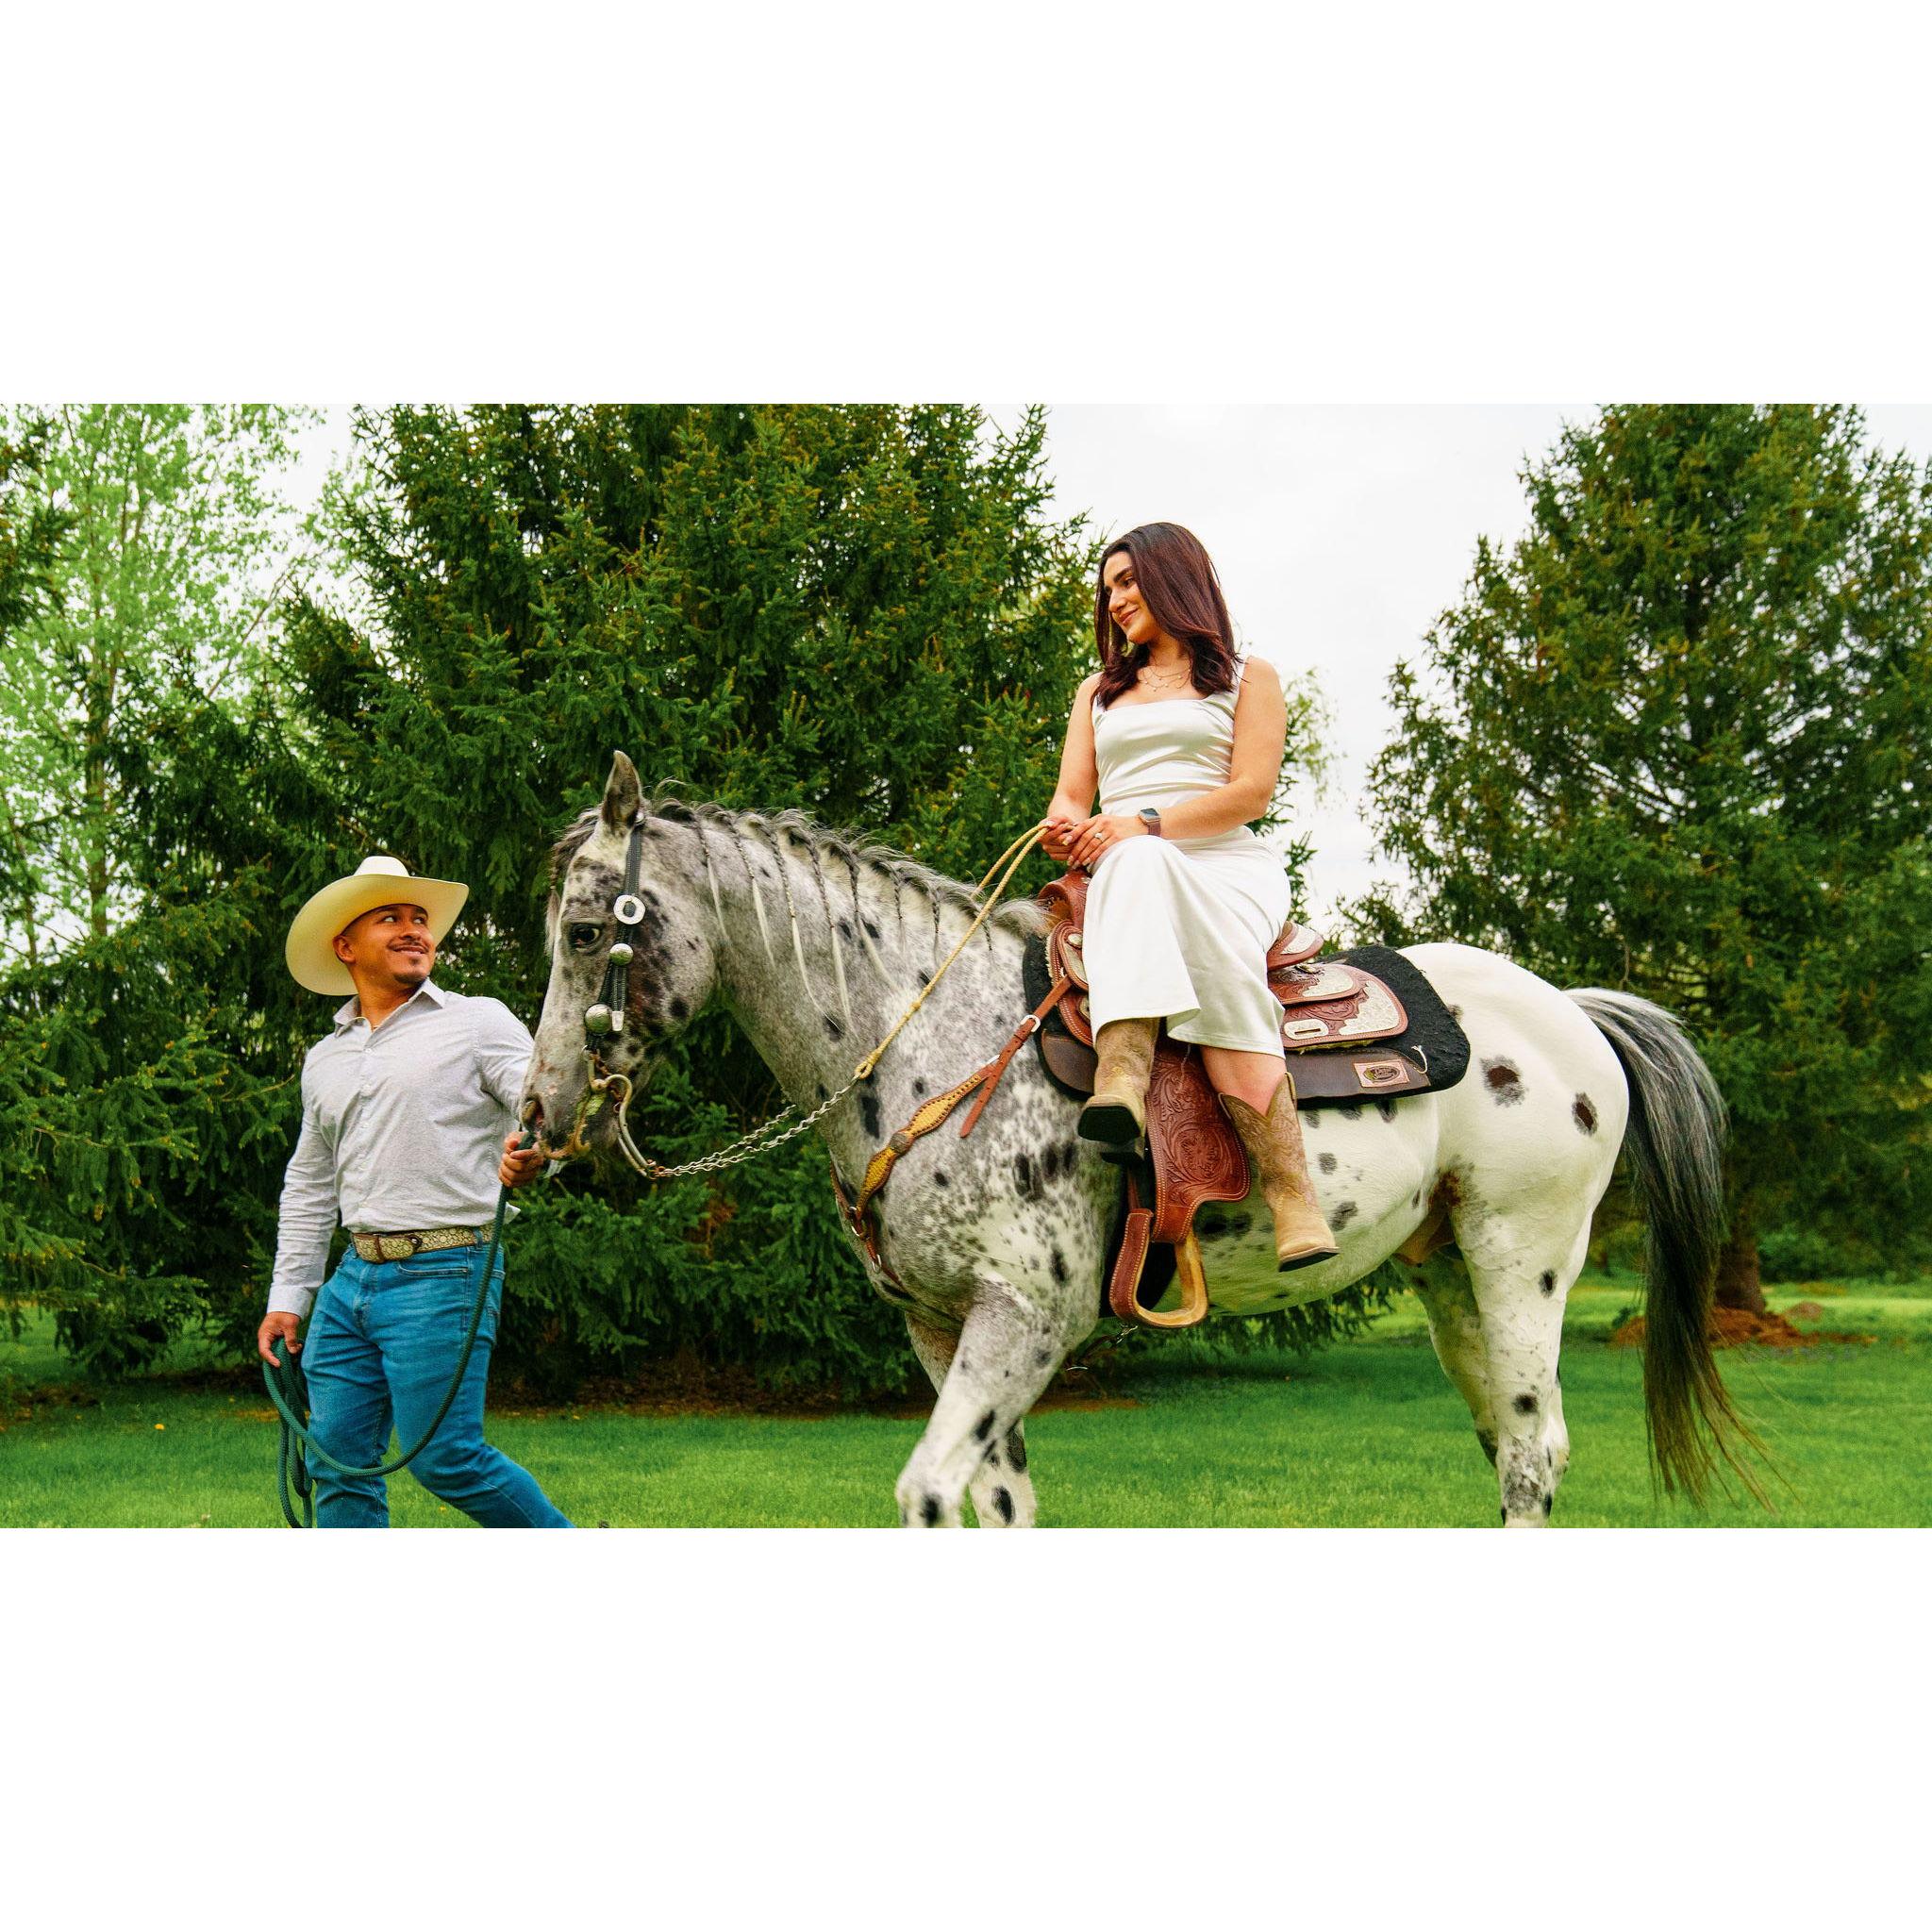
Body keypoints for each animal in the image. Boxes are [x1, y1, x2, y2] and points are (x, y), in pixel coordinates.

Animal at [520, 751, 1755, 1527]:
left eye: (584, 931)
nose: (538, 1118)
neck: (936, 1036)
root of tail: (1573, 1010)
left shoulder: (1025, 1316)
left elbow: (928, 1493)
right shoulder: (941, 1328)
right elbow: (997, 1503)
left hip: (1519, 1260)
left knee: (1534, 1455)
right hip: (1446, 1270)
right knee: (1506, 1447)